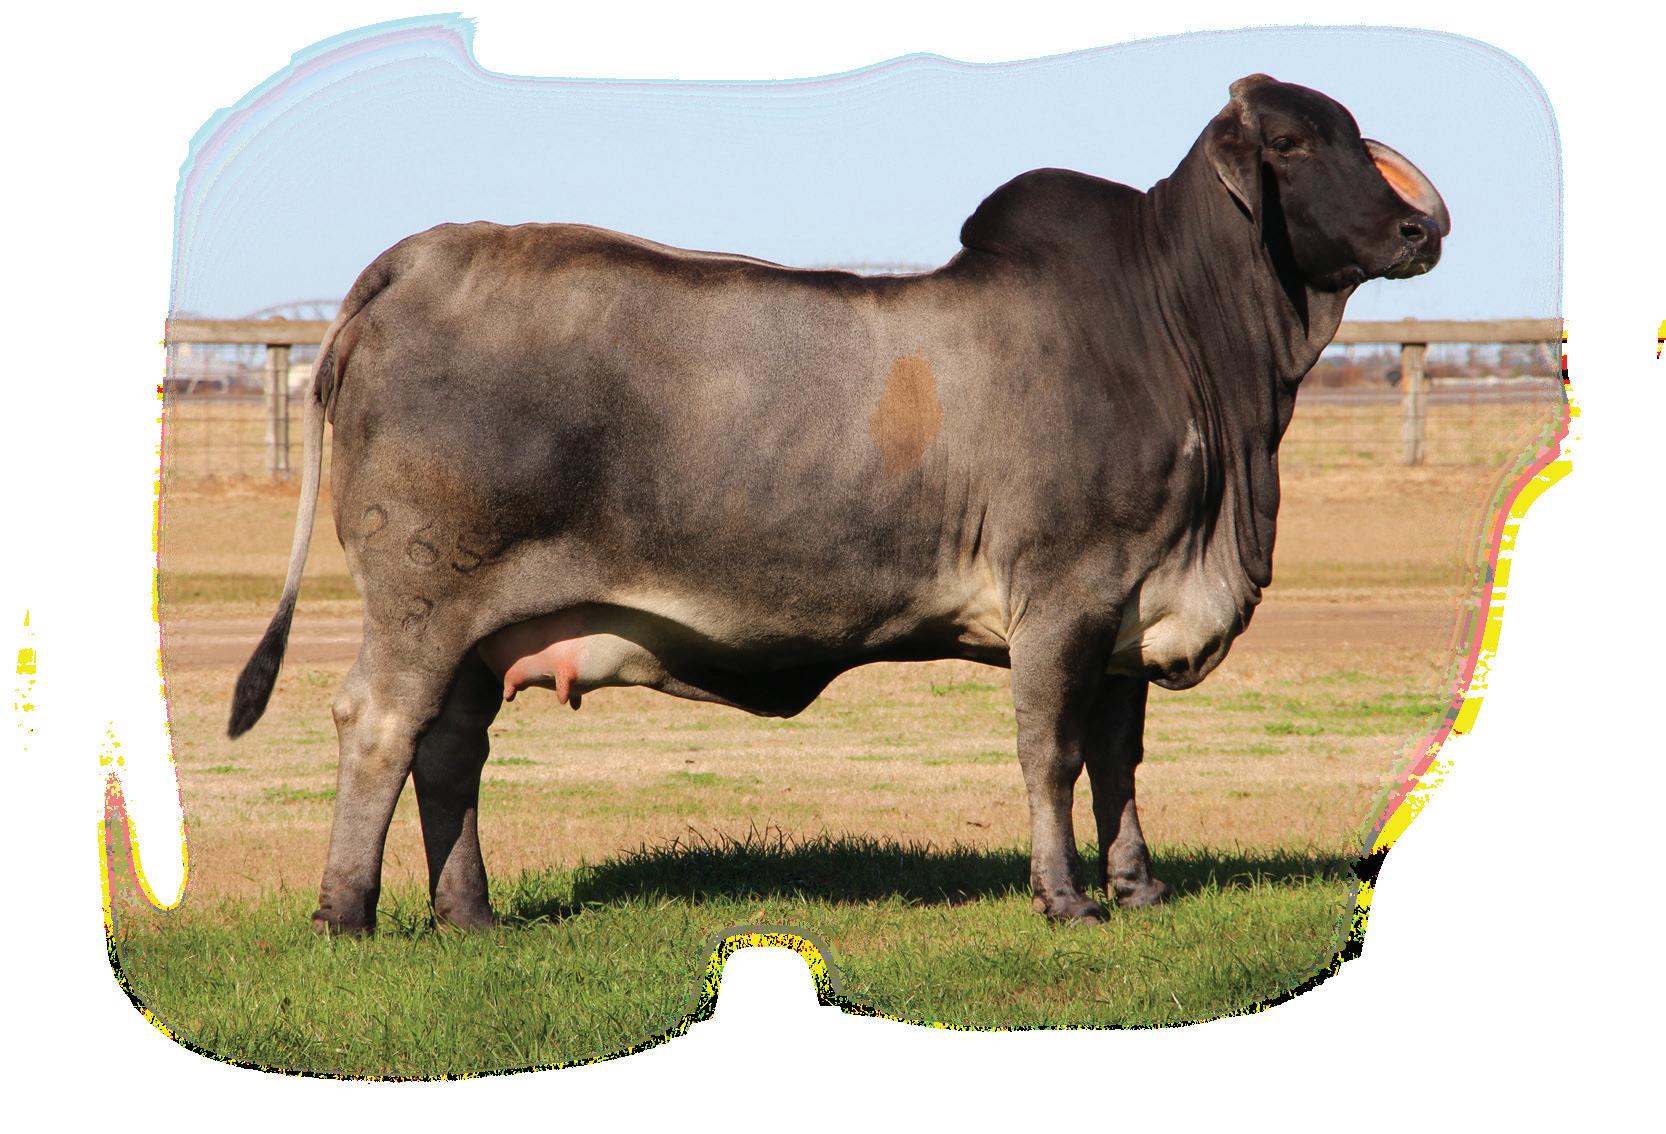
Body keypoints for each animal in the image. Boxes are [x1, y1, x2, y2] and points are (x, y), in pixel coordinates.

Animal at [228, 74, 1448, 934]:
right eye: (1290, 145)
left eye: (1350, 136)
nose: (1416, 232)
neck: (1187, 347)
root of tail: (414, 260)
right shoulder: (1061, 600)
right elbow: (1050, 754)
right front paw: (1066, 899)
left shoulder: (1124, 613)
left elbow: (1118, 759)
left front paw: (1138, 888)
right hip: (423, 601)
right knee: (380, 725)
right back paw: (347, 914)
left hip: (485, 630)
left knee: (451, 750)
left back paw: (470, 914)